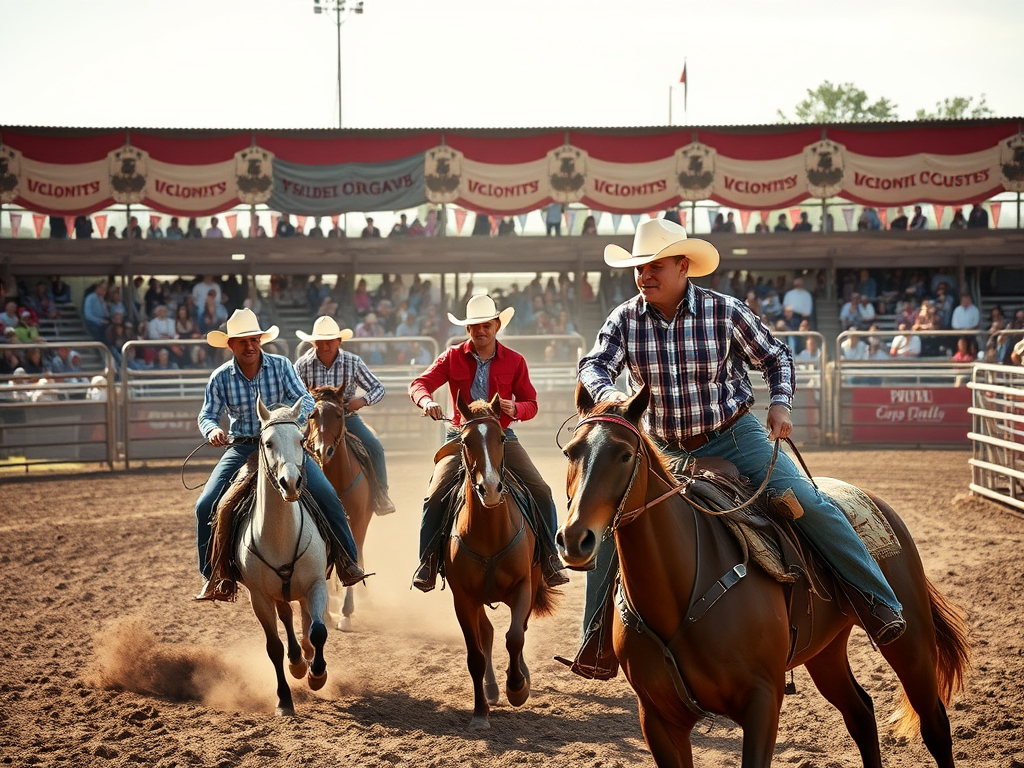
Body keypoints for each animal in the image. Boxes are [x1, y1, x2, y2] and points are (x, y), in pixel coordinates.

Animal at [307, 387, 380, 634]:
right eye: (312, 415)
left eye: (339, 415)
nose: (323, 450)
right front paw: (326, 609)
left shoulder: (358, 523)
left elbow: (354, 555)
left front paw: (346, 613)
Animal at [450, 397, 561, 733]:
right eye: (465, 440)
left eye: (500, 438)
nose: (490, 488)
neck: (489, 532)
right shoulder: (463, 599)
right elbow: (475, 655)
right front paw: (479, 713)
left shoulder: (524, 586)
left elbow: (515, 637)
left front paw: (518, 688)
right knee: (486, 634)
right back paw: (490, 690)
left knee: (518, 629)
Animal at [561, 385, 966, 768]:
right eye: (570, 452)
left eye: (624, 454)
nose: (575, 538)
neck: (679, 593)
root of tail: (874, 501)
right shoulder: (658, 718)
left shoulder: (762, 701)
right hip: (825, 651)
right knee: (861, 712)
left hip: (911, 641)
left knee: (934, 724)